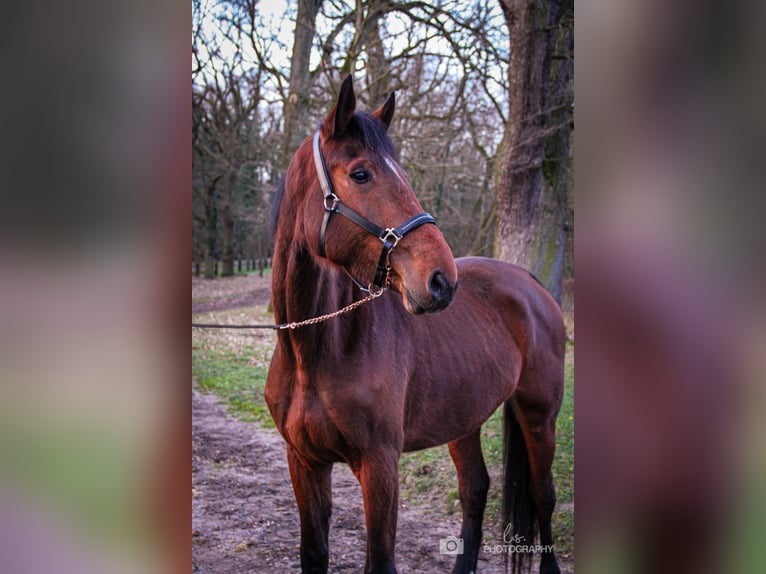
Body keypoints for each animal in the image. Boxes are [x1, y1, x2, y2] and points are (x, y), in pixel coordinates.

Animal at [268, 76, 568, 574]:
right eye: (361, 174)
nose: (441, 279)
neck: (319, 352)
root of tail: (530, 282)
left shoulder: (379, 466)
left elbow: (381, 560)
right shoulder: (305, 463)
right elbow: (313, 553)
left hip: (539, 414)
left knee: (543, 498)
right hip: (465, 416)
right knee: (475, 490)